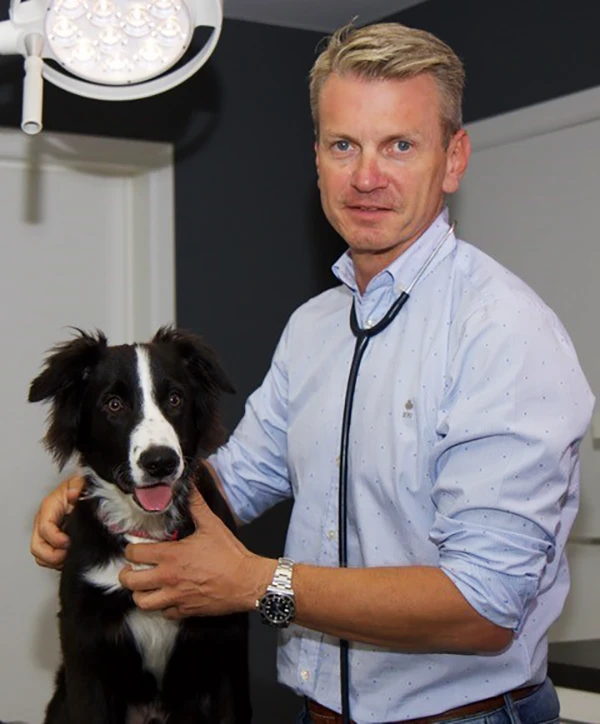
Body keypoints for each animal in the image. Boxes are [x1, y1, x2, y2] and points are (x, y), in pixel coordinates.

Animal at [28, 326, 251, 724]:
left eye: (175, 398)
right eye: (114, 404)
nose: (160, 462)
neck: (146, 529)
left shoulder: (224, 648)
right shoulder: (85, 647)